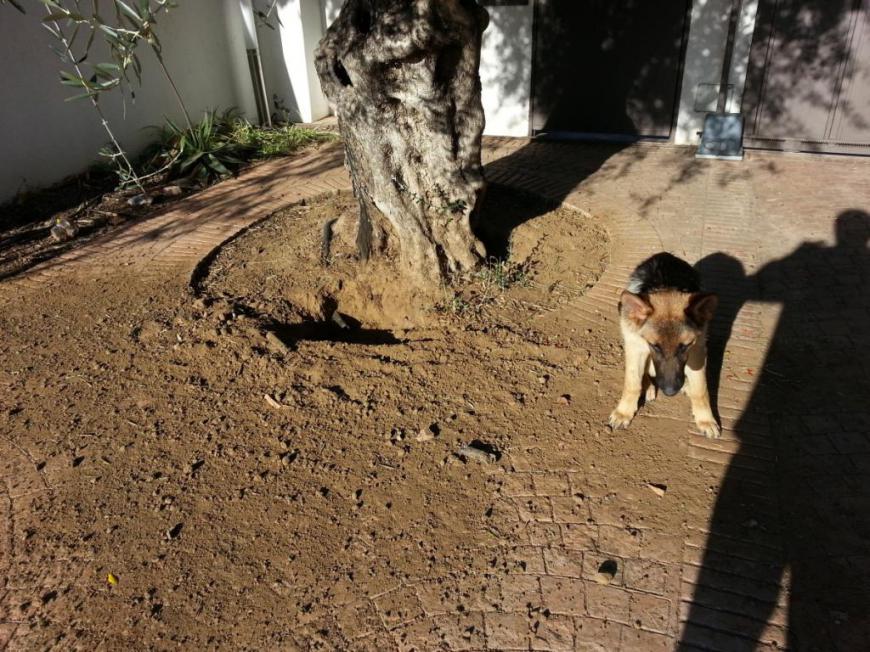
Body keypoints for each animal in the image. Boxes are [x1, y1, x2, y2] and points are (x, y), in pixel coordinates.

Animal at [608, 255, 724, 438]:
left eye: (685, 346)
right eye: (654, 346)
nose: (670, 392)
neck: (665, 286)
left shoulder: (697, 351)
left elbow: (701, 389)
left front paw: (705, 420)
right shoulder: (636, 346)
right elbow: (632, 384)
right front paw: (624, 412)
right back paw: (648, 387)